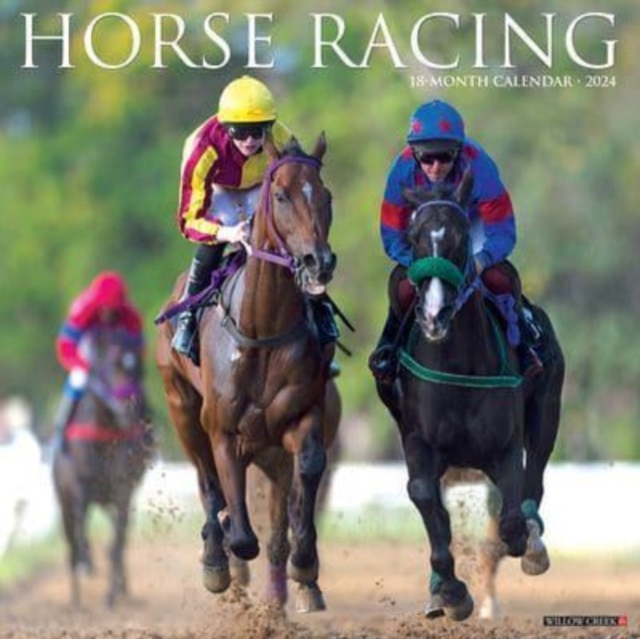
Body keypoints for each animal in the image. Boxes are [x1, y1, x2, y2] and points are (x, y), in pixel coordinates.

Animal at [52, 326, 154, 608]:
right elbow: (80, 535)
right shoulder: (79, 489)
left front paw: (112, 595)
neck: (103, 432)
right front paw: (86, 572)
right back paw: (77, 595)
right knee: (72, 543)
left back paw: (122, 588)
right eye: (113, 363)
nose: (132, 408)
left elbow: (116, 543)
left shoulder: (122, 490)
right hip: (65, 502)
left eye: (138, 365)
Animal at [156, 133, 339, 613]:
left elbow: (308, 470)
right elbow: (238, 530)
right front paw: (221, 558)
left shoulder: (302, 416)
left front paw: (305, 566)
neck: (263, 329)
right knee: (208, 483)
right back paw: (216, 558)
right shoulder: (222, 429)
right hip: (182, 409)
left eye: (326, 195)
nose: (318, 261)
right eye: (281, 195)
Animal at [374, 169, 564, 621]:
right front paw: (451, 590)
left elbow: (512, 511)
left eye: (460, 237)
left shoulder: (506, 447)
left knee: (536, 477)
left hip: (547, 409)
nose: (434, 314)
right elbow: (424, 496)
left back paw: (533, 544)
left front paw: (520, 541)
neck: (458, 367)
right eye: (414, 237)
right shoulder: (418, 441)